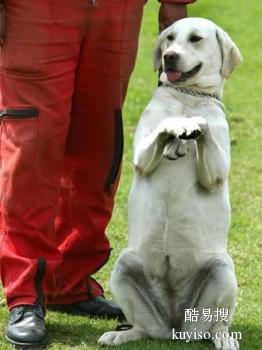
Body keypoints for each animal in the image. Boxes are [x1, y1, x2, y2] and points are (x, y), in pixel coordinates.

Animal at [99, 17, 243, 348]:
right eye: (169, 38)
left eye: (195, 39)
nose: (170, 57)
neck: (188, 97)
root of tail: (176, 323)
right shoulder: (141, 158)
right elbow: (166, 125)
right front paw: (176, 130)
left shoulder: (215, 174)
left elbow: (201, 125)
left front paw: (189, 128)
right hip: (124, 268)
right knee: (144, 328)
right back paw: (120, 334)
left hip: (222, 270)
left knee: (215, 326)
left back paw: (224, 339)